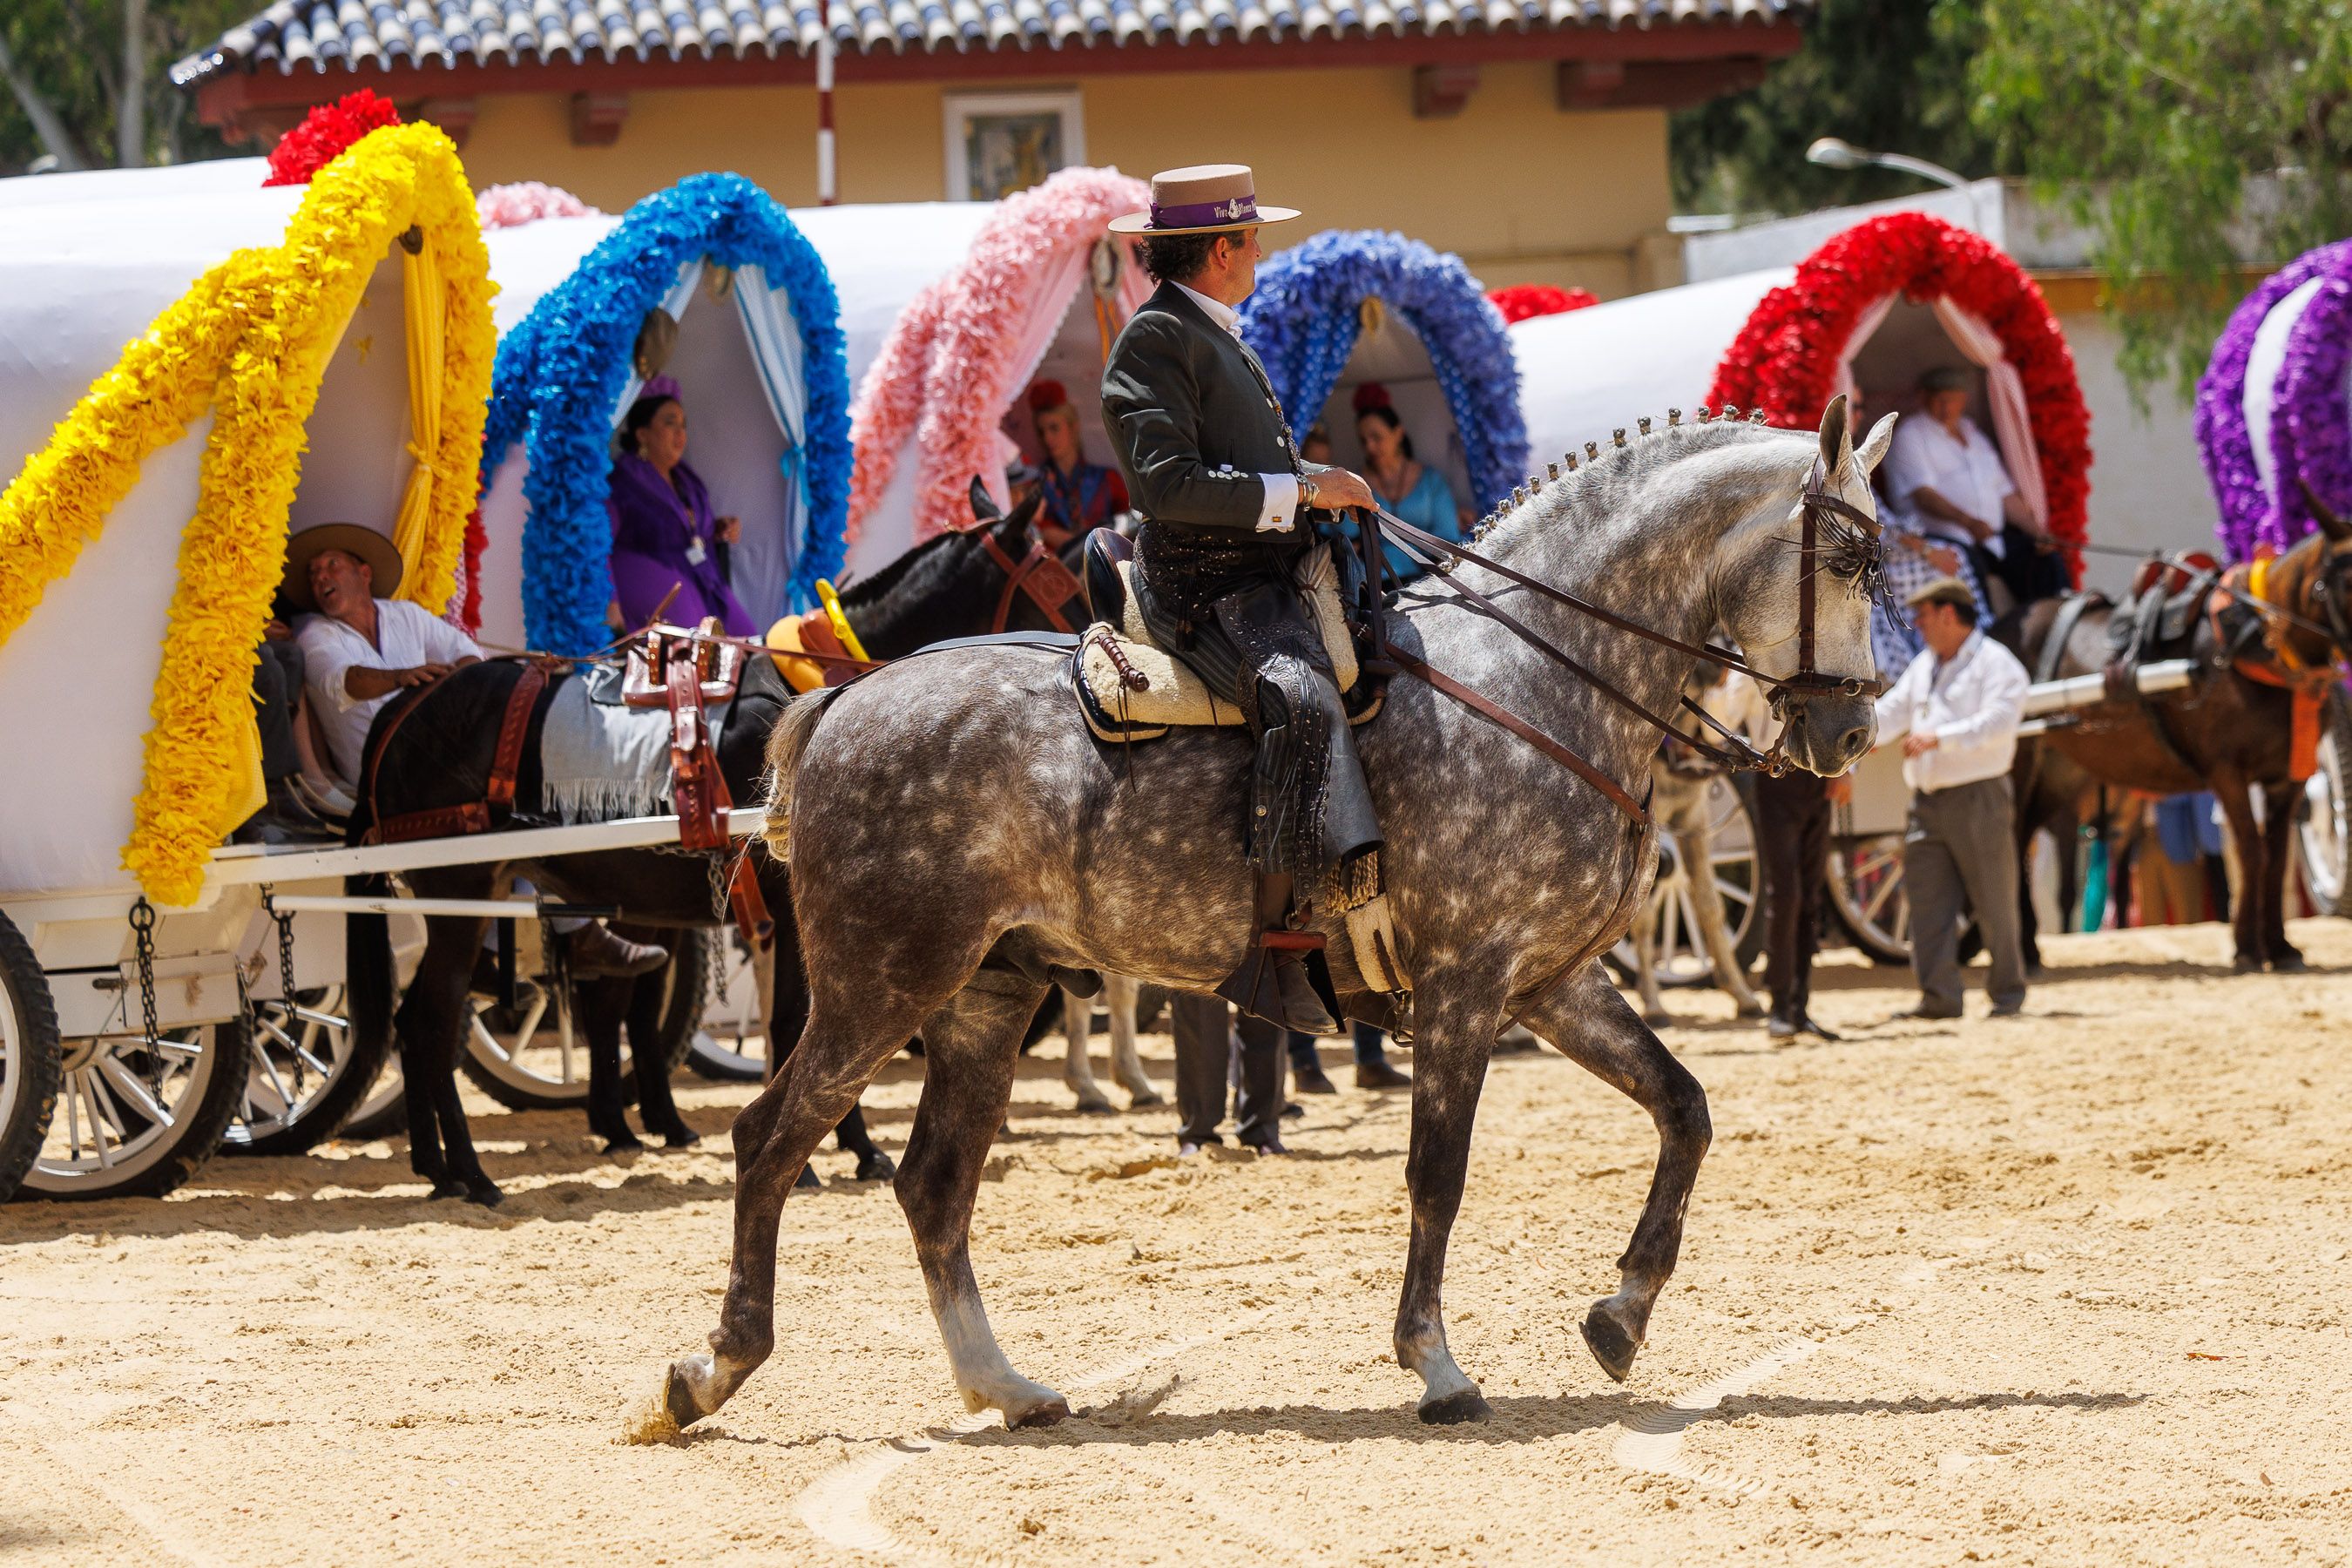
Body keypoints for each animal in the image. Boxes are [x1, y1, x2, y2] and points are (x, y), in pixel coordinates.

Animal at [351, 495, 1087, 1206]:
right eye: (1067, 586)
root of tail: (408, 702)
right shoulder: (800, 914)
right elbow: (797, 1024)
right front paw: (840, 1152)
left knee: (427, 1021)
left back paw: (440, 1163)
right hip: (461, 891)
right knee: (433, 1022)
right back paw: (470, 1172)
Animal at [635, 400, 1893, 1437]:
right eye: (1848, 556)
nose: (1847, 738)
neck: (1538, 679)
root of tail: (844, 703)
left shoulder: (1551, 981)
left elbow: (1685, 1111)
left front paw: (1620, 1314)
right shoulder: (1468, 986)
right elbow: (1439, 1174)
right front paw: (1437, 1366)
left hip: (987, 996)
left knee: (933, 1186)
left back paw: (1004, 1385)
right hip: (878, 984)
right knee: (772, 1141)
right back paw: (708, 1372)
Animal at [2009, 491, 2352, 971]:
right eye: (2346, 582)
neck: (2255, 646)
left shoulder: (2288, 777)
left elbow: (2276, 856)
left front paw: (2280, 945)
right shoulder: (2227, 772)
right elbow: (2252, 851)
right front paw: (2248, 945)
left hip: (2062, 769)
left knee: (2023, 835)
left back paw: (2027, 946)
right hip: (2016, 761)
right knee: (2008, 842)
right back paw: (2020, 946)